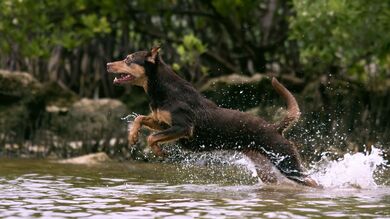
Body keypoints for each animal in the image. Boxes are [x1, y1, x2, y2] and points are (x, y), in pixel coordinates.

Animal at [107, 47, 320, 187]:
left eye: (127, 60)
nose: (108, 64)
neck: (162, 89)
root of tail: (275, 128)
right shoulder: (163, 122)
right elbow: (140, 118)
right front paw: (132, 136)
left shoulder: (184, 127)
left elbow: (152, 137)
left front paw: (158, 151)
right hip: (266, 169)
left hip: (286, 162)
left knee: (312, 181)